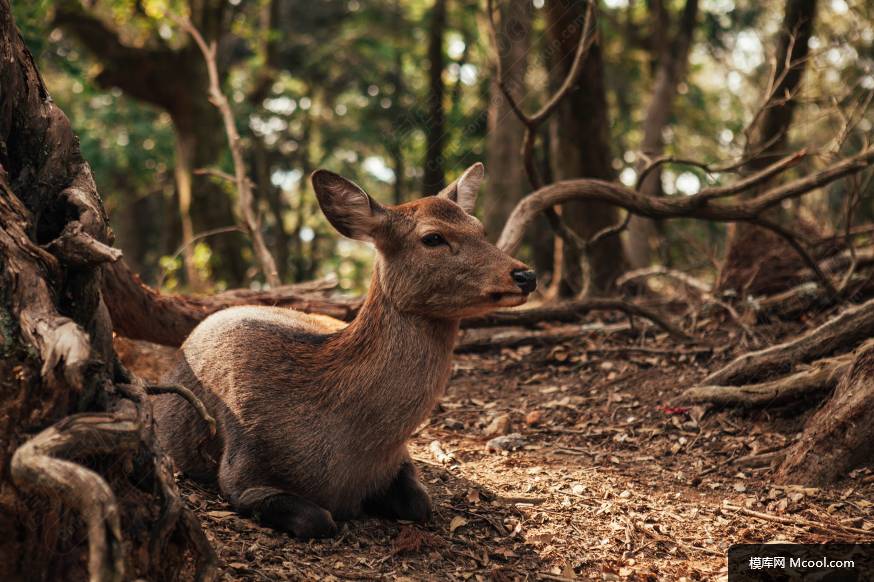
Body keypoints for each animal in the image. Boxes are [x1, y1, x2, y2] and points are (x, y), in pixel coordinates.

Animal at [152, 163, 536, 540]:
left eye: (480, 228)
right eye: (433, 238)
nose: (526, 274)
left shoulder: (399, 458)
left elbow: (420, 504)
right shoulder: (240, 472)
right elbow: (317, 519)